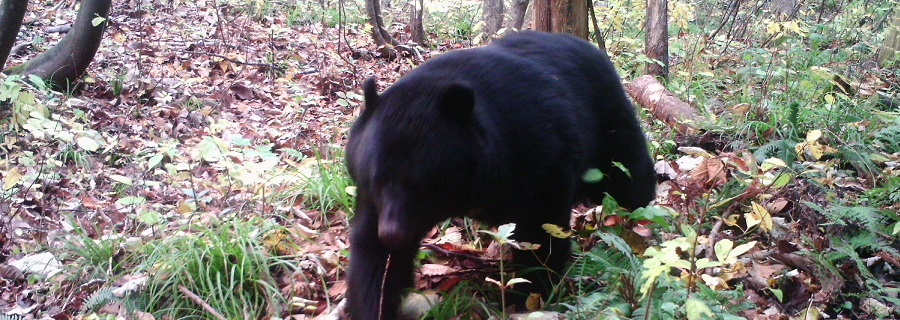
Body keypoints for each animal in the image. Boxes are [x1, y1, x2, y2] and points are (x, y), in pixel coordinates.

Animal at [344, 30, 652, 320]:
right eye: (376, 180)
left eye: (423, 183)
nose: (393, 234)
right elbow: (373, 256)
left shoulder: (537, 154)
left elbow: (541, 231)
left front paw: (528, 296)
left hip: (608, 122)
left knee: (630, 178)